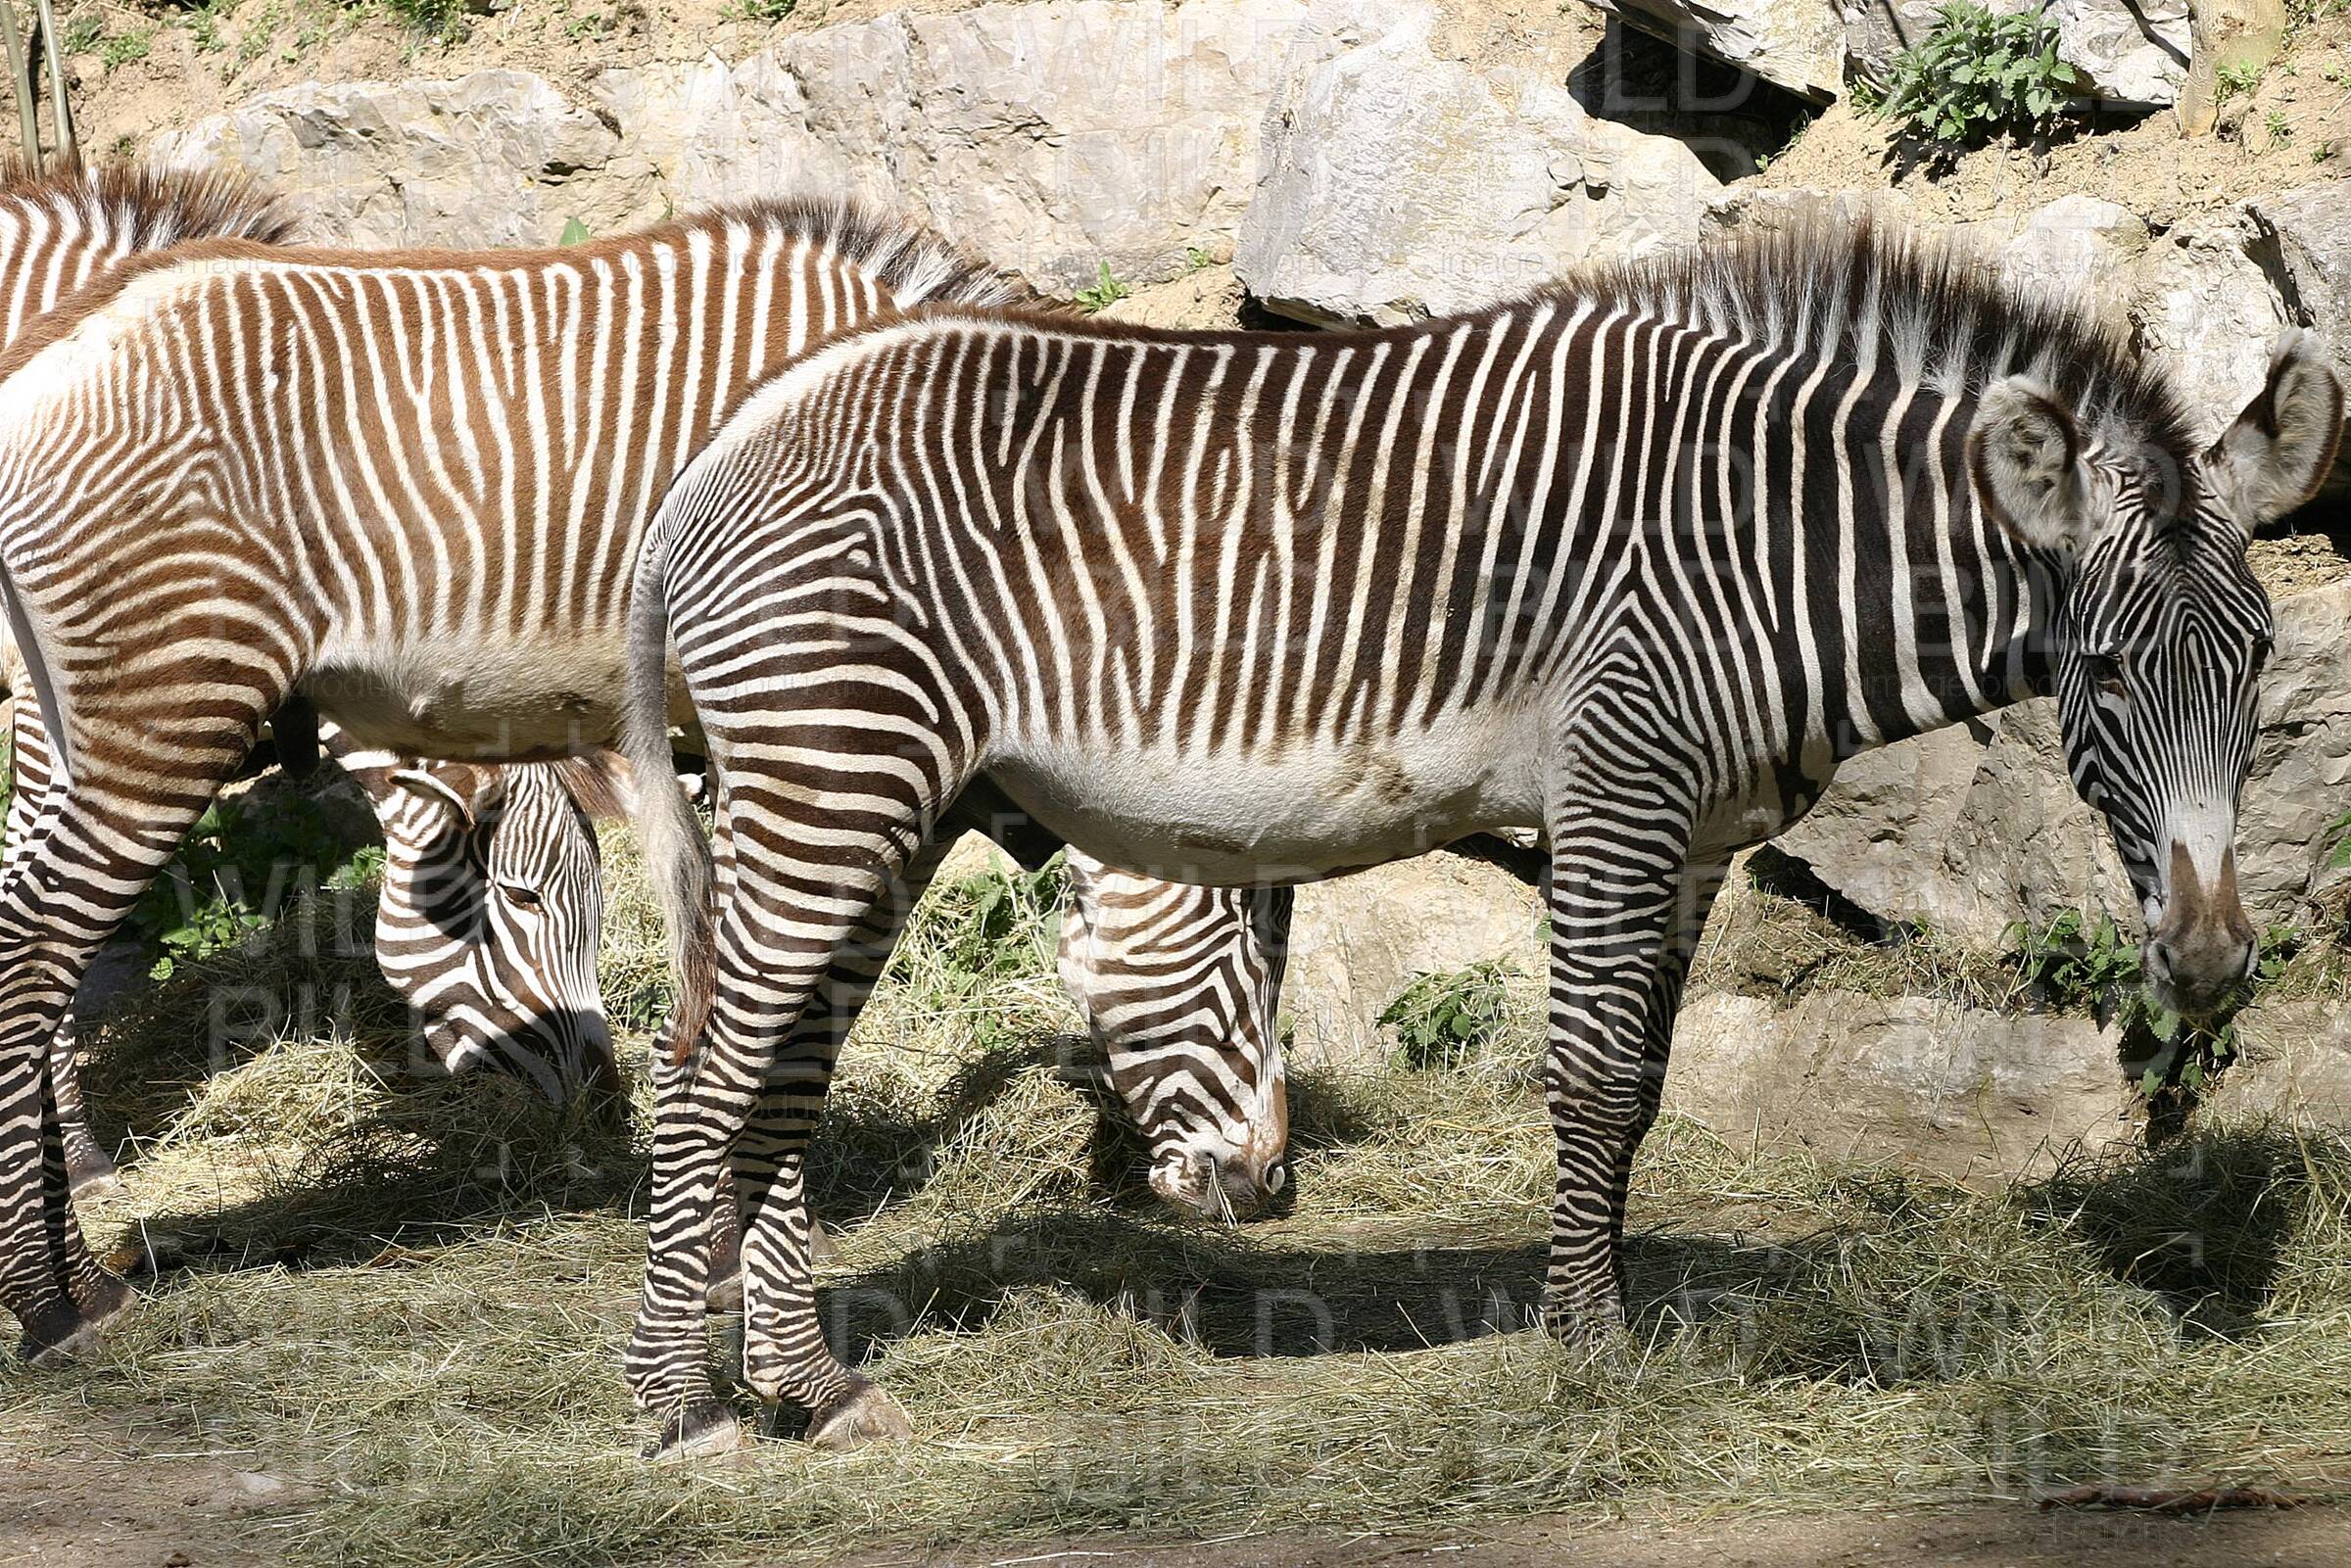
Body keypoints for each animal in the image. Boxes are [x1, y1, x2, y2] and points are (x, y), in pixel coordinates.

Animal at [0, 194, 1294, 1366]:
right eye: (1244, 940)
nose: (1274, 1179)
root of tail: (63, 336)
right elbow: (776, 992)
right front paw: (725, 1254)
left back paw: (79, 1276)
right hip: (159, 702)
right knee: (33, 952)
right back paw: (50, 1301)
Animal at [615, 219, 2340, 1454]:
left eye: (2260, 660)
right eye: (2103, 672)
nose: (2208, 965)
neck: (1770, 543)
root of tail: (719, 446)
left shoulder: (1696, 832)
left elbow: (1644, 1086)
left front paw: (1613, 1308)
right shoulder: (1618, 787)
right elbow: (1586, 1079)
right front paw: (1585, 1346)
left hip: (875, 800)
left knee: (778, 1078)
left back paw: (810, 1390)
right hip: (832, 782)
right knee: (701, 1079)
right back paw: (679, 1414)